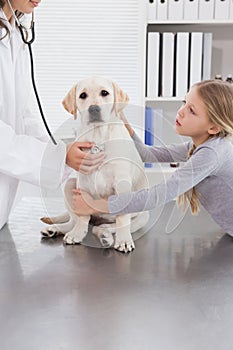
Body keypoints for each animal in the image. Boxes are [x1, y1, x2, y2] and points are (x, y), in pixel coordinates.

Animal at [40, 76, 148, 252]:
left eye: (104, 93)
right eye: (82, 95)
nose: (94, 109)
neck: (98, 137)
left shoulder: (122, 182)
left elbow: (122, 217)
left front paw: (124, 240)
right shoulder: (82, 181)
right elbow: (83, 215)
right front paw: (77, 234)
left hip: (142, 215)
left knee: (111, 225)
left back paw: (105, 234)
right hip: (70, 185)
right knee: (74, 220)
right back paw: (56, 229)